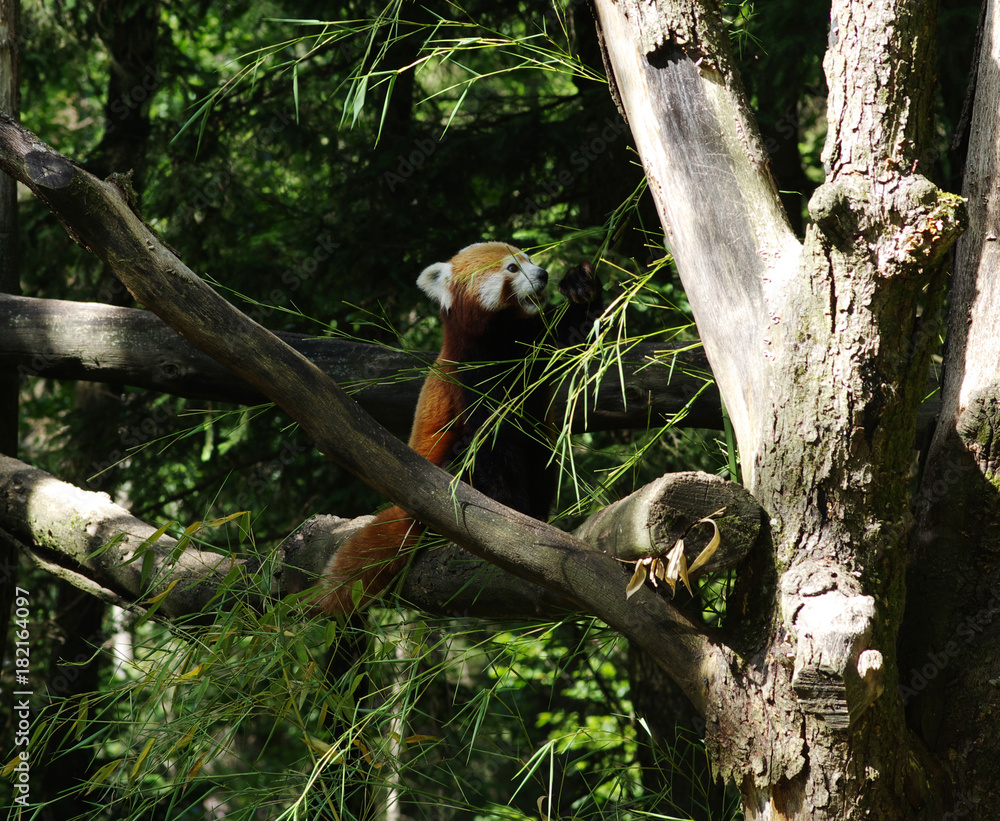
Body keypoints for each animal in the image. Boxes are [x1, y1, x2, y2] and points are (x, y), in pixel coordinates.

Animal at [316, 243, 600, 616]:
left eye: (529, 259)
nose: (543, 274)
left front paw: (581, 284)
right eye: (512, 268)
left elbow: (578, 331)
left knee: (541, 454)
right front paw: (514, 515)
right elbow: (494, 449)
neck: (499, 340)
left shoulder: (532, 343)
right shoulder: (470, 374)